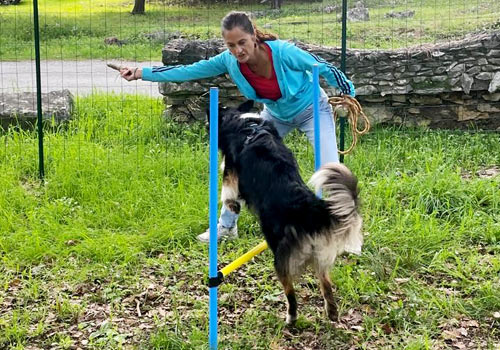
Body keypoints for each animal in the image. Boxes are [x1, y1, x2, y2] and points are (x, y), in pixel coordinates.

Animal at [213, 100, 362, 324]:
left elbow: (227, 190)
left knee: (290, 292)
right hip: (321, 256)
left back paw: (291, 317)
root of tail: (310, 211)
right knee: (326, 284)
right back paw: (332, 313)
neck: (247, 124)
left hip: (281, 258)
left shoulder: (231, 167)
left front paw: (232, 205)